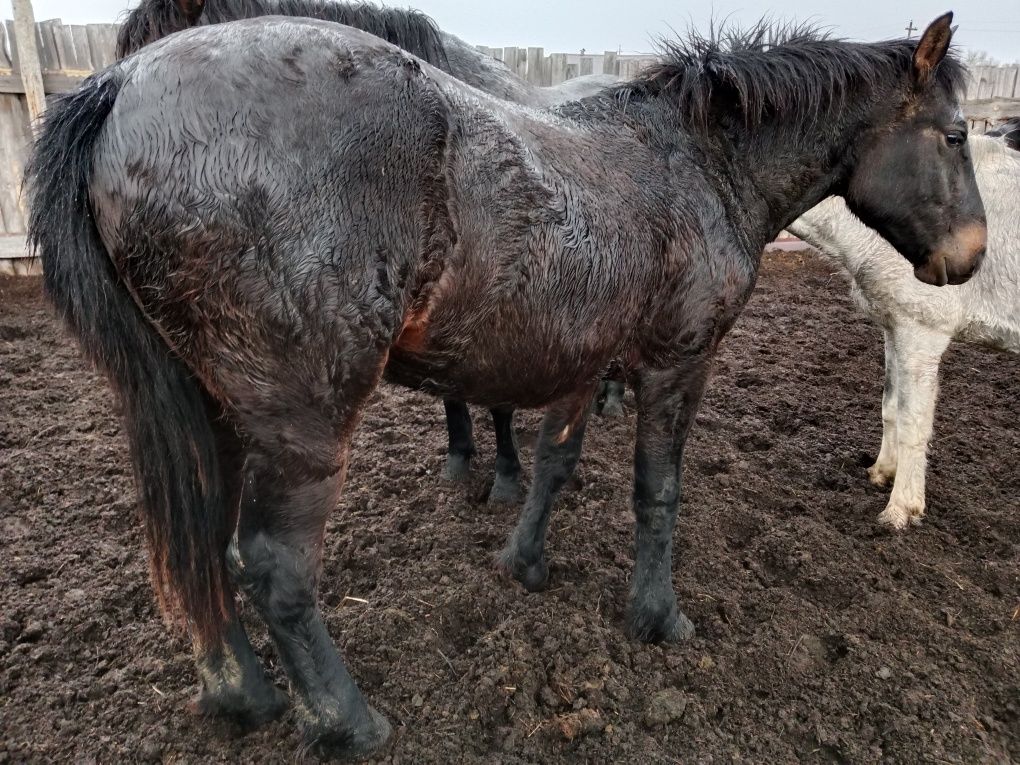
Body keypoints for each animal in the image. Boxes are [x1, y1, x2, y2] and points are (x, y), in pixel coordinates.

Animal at [787, 133, 1020, 526]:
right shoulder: (895, 329)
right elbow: (891, 404)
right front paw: (883, 472)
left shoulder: (922, 333)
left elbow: (914, 421)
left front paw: (901, 510)